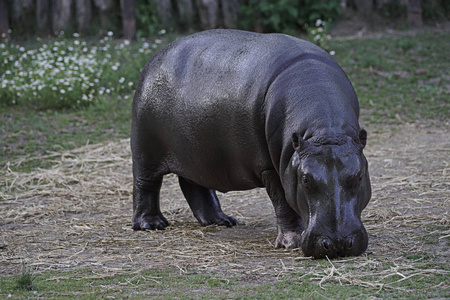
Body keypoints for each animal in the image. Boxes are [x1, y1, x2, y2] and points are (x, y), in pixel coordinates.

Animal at [131, 29, 372, 258]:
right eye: (305, 179)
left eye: (359, 176)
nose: (337, 243)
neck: (324, 130)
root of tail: (155, 57)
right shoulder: (269, 168)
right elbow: (283, 203)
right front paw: (291, 241)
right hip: (145, 150)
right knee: (146, 184)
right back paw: (151, 224)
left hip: (197, 154)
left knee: (195, 185)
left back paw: (222, 221)